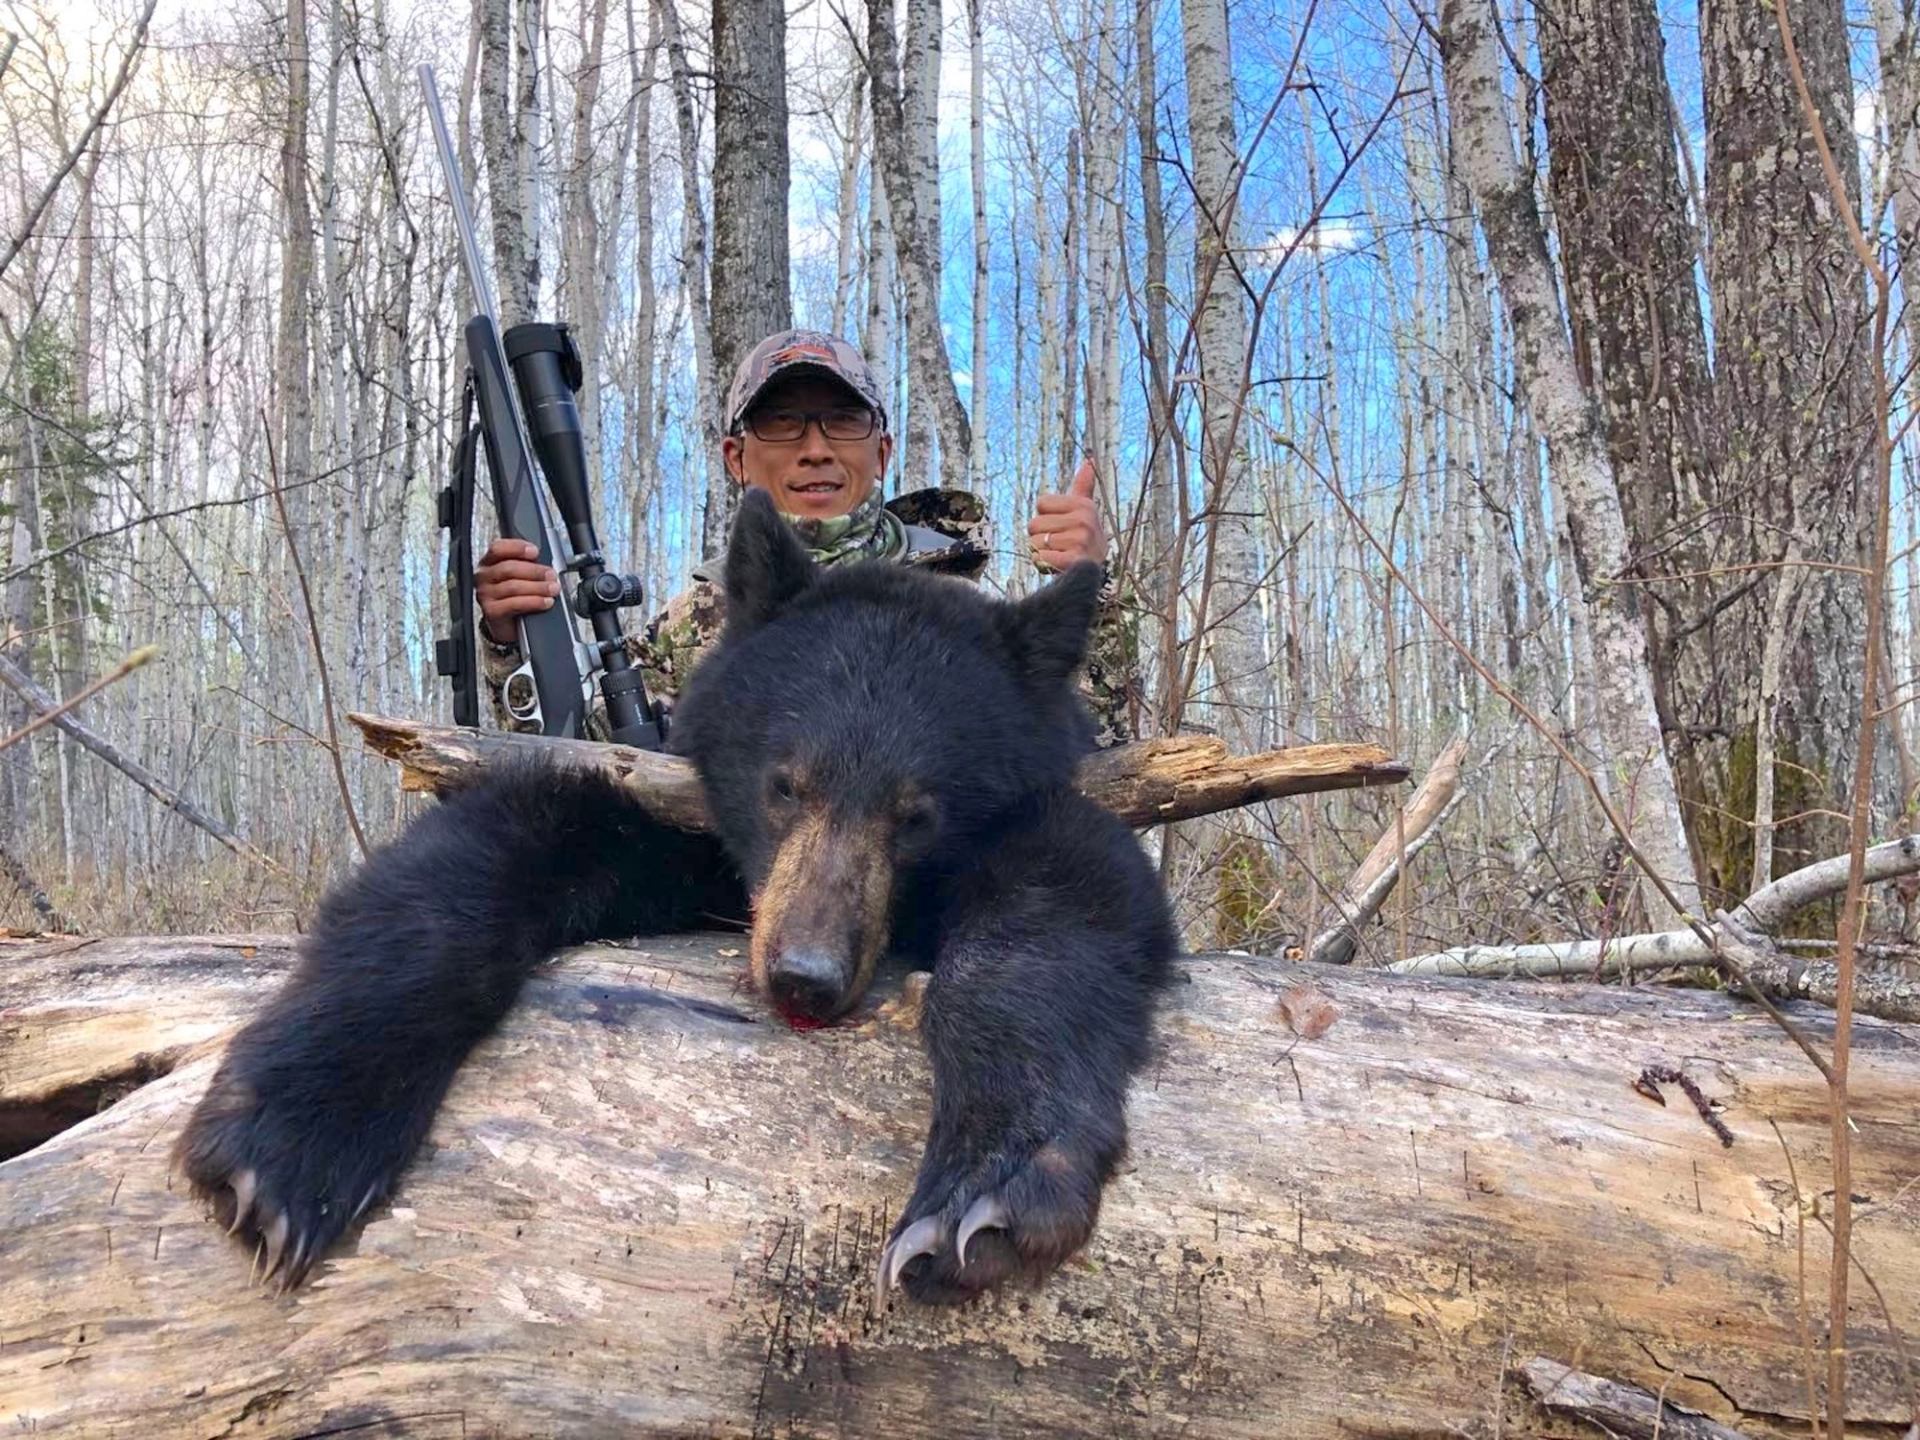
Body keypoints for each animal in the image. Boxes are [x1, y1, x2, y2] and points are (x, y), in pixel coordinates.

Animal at [176, 488, 1177, 1304]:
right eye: (785, 783)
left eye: (916, 815)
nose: (804, 976)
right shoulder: (686, 825)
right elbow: (505, 840)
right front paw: (288, 1139)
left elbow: (1065, 887)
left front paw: (987, 1191)